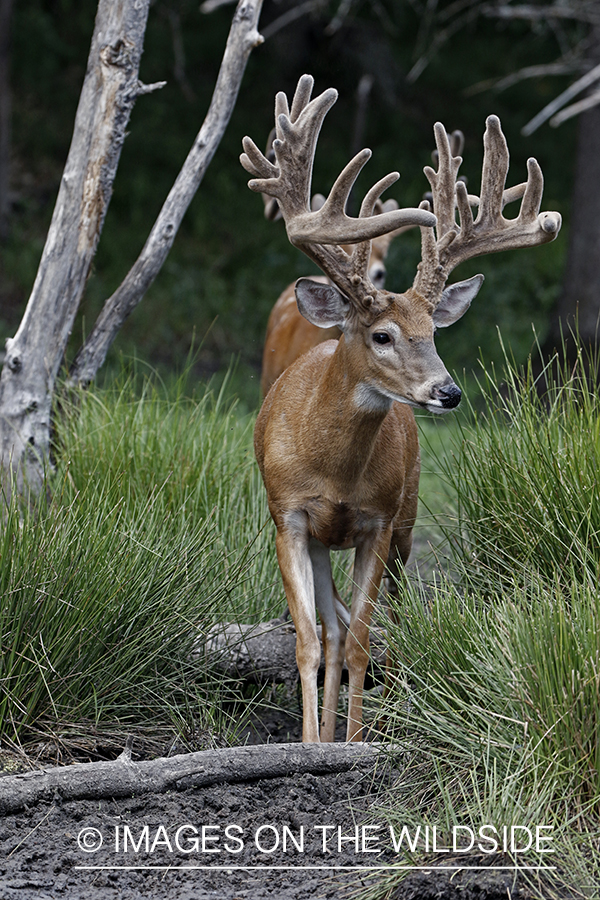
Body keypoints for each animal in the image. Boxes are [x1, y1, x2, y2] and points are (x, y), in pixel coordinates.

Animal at [240, 74, 564, 740]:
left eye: (433, 332)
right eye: (382, 335)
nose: (448, 391)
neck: (332, 471)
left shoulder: (379, 520)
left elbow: (363, 638)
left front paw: (352, 740)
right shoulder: (287, 514)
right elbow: (307, 639)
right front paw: (309, 741)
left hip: (407, 520)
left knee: (370, 624)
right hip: (322, 537)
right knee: (329, 630)